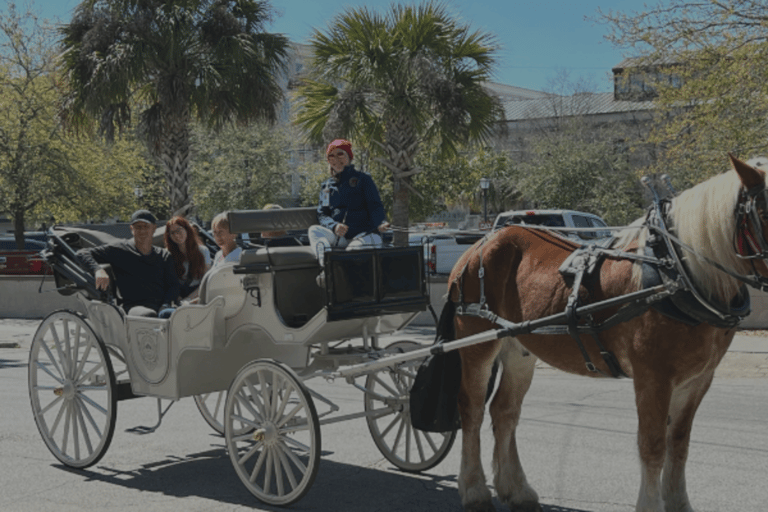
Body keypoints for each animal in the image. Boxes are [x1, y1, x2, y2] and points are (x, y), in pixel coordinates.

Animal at [450, 156, 768, 512]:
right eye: (764, 212)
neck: (675, 274)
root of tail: (482, 243)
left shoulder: (698, 380)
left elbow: (679, 444)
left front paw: (678, 502)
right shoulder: (653, 378)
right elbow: (653, 446)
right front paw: (650, 504)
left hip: (519, 350)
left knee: (504, 411)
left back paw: (516, 489)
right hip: (477, 346)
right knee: (472, 410)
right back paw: (475, 490)